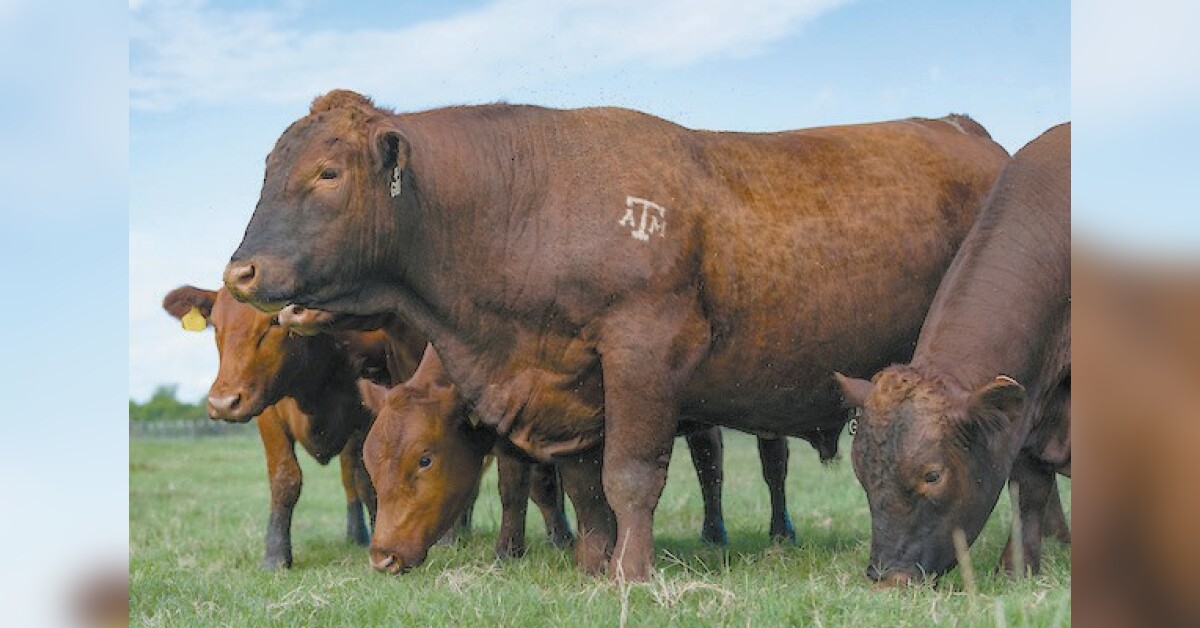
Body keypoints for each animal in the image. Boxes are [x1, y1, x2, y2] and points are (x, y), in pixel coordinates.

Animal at [163, 285, 379, 569]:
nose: (223, 403)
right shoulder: (267, 413)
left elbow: (370, 480)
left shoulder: (370, 411)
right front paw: (275, 555)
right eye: (216, 325)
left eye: (275, 321)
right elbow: (284, 478)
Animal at [224, 89, 1008, 579]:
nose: (241, 271)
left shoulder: (642, 357)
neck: (526, 205)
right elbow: (579, 483)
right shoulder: (564, 384)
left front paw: (631, 573)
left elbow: (628, 477)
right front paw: (591, 563)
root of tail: (968, 131)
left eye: (327, 172)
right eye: (266, 170)